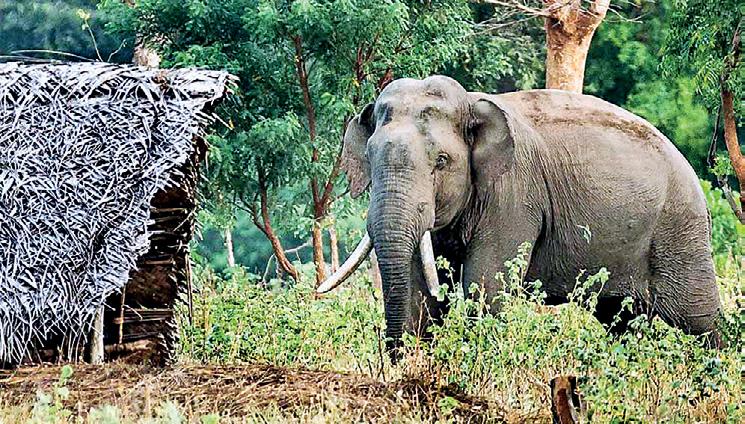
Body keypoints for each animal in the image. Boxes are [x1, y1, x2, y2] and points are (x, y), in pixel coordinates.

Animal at [318, 75, 722, 350]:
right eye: (370, 157)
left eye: (442, 161)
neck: (471, 103)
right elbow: (420, 290)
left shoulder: (514, 194)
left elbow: (485, 286)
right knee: (619, 320)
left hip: (679, 229)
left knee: (697, 319)